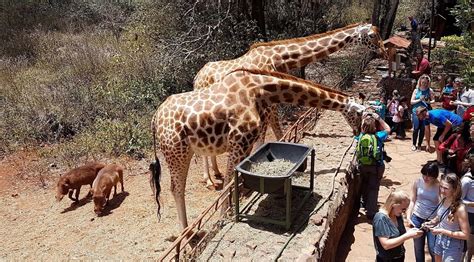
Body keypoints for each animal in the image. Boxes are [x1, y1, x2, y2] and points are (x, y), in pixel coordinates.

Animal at [150, 68, 364, 230]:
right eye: (359, 114)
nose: (358, 132)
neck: (259, 91)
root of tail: (155, 119)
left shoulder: (247, 143)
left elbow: (237, 179)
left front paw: (241, 199)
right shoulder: (238, 141)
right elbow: (228, 182)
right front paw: (223, 216)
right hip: (177, 152)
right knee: (176, 189)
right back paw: (187, 234)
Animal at [194, 22, 386, 186]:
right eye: (372, 35)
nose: (383, 51)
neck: (280, 59)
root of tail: (197, 76)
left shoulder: (271, 104)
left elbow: (279, 133)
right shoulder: (265, 105)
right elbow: (264, 137)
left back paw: (217, 172)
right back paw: (208, 179)